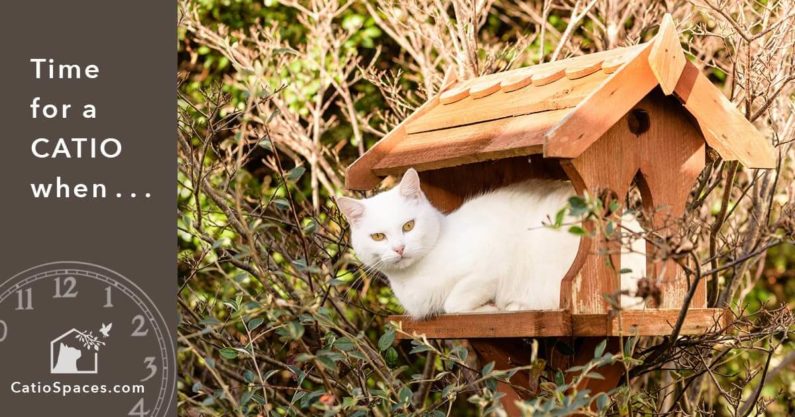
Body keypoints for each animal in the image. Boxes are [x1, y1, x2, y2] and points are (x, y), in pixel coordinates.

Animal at [338, 167, 648, 316]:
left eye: (408, 225)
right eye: (378, 236)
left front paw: (489, 308)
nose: (399, 248)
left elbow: (454, 302)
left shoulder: (493, 261)